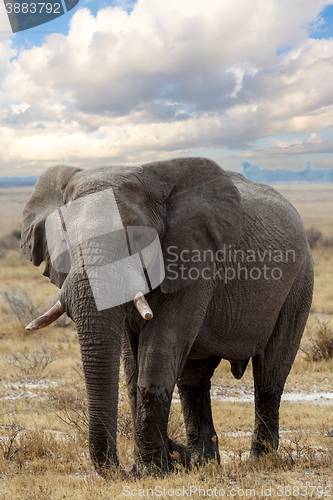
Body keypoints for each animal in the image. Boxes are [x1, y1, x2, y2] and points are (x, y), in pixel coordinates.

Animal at [20, 158, 312, 474]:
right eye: (63, 240)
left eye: (138, 238)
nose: (178, 451)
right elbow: (133, 366)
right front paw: (155, 465)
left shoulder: (195, 260)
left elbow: (158, 353)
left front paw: (152, 470)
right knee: (193, 380)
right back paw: (204, 461)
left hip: (298, 283)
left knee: (270, 374)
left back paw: (259, 461)